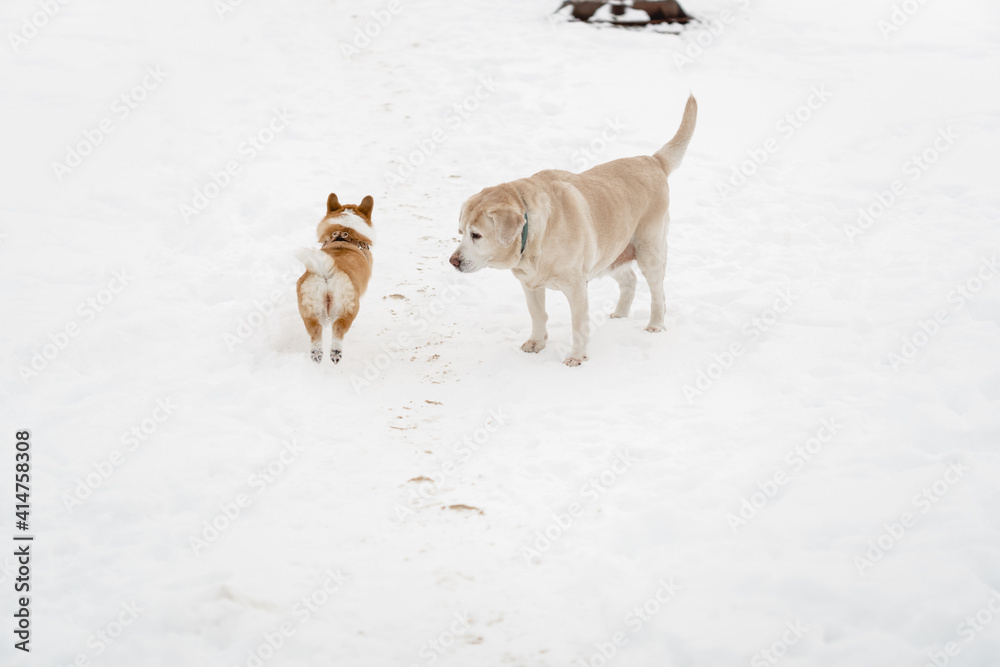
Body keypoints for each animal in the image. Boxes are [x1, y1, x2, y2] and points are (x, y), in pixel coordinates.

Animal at [298, 193, 376, 366]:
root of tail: (325, 272)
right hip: (347, 307)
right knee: (338, 328)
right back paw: (335, 353)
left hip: (309, 308)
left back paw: (317, 355)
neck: (344, 233)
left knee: (315, 331)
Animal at [452, 95, 696, 366]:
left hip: (649, 252)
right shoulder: (530, 285)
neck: (533, 237)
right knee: (629, 280)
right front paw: (536, 343)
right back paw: (620, 314)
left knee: (658, 294)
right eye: (461, 231)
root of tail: (652, 160)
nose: (453, 261)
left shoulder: (577, 287)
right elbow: (538, 315)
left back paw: (655, 325)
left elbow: (578, 325)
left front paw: (577, 357)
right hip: (612, 254)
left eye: (476, 235)